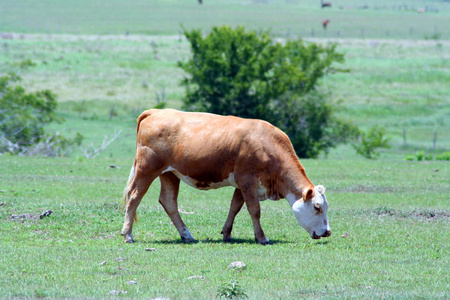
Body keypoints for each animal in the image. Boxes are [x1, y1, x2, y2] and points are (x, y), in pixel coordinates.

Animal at [120, 109, 330, 245]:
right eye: (317, 207)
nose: (327, 232)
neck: (268, 145)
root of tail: (155, 112)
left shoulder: (241, 184)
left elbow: (235, 207)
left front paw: (227, 234)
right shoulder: (247, 180)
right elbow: (254, 210)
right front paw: (261, 237)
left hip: (170, 173)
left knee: (168, 201)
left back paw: (187, 235)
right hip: (147, 170)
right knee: (134, 197)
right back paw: (128, 234)